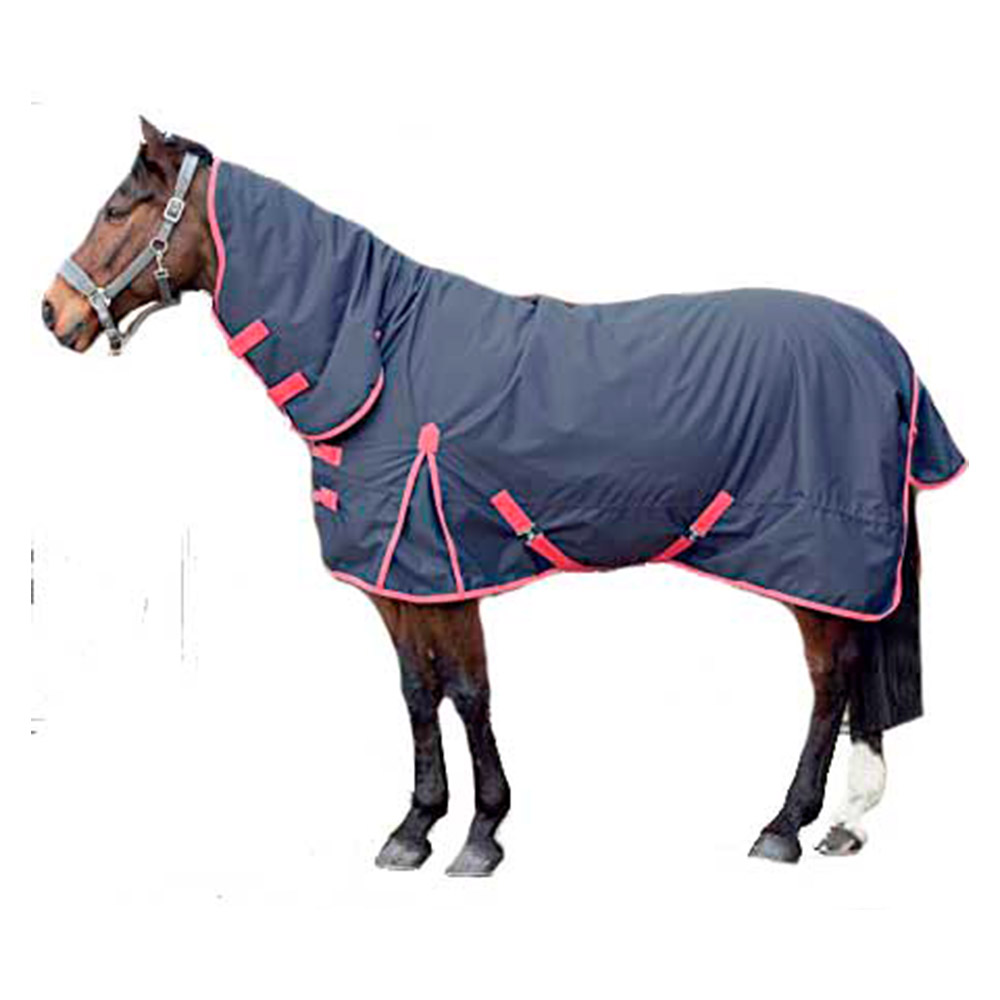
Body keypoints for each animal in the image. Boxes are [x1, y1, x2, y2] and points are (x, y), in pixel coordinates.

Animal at [41, 119, 966, 875]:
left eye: (119, 211)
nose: (52, 313)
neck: (380, 354)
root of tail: (888, 354)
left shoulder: (446, 567)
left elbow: (469, 691)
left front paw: (481, 835)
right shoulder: (399, 579)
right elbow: (418, 693)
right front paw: (414, 827)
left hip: (818, 562)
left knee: (832, 679)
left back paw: (785, 825)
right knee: (857, 669)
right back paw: (845, 822)